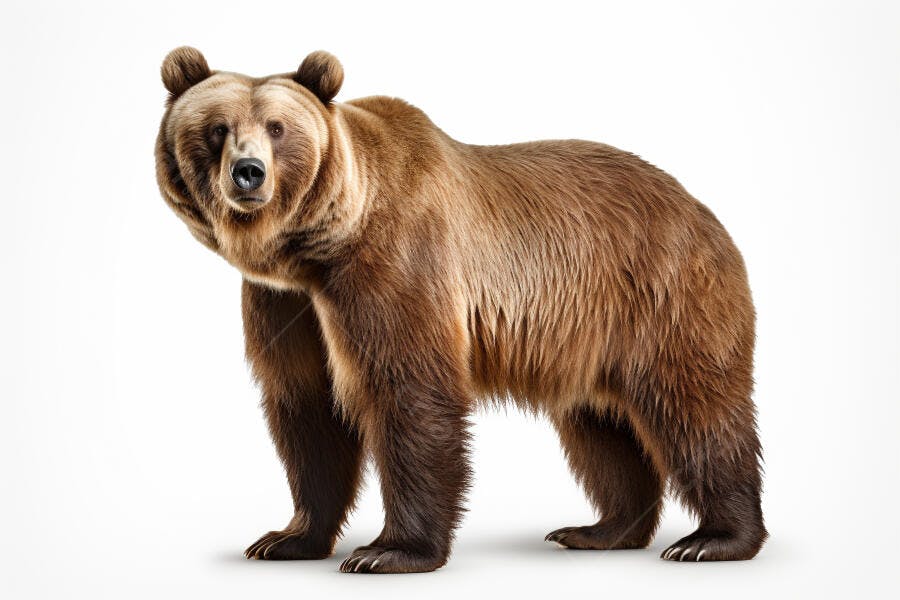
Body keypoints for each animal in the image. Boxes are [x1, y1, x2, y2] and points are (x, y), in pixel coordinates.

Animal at [155, 47, 767, 573]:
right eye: (217, 129)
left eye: (278, 129)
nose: (249, 171)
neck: (317, 250)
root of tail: (701, 208)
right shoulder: (288, 305)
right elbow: (306, 406)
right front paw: (287, 538)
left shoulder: (396, 266)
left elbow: (409, 392)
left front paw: (389, 551)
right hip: (586, 333)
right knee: (600, 426)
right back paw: (601, 530)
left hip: (663, 293)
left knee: (696, 404)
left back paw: (714, 539)